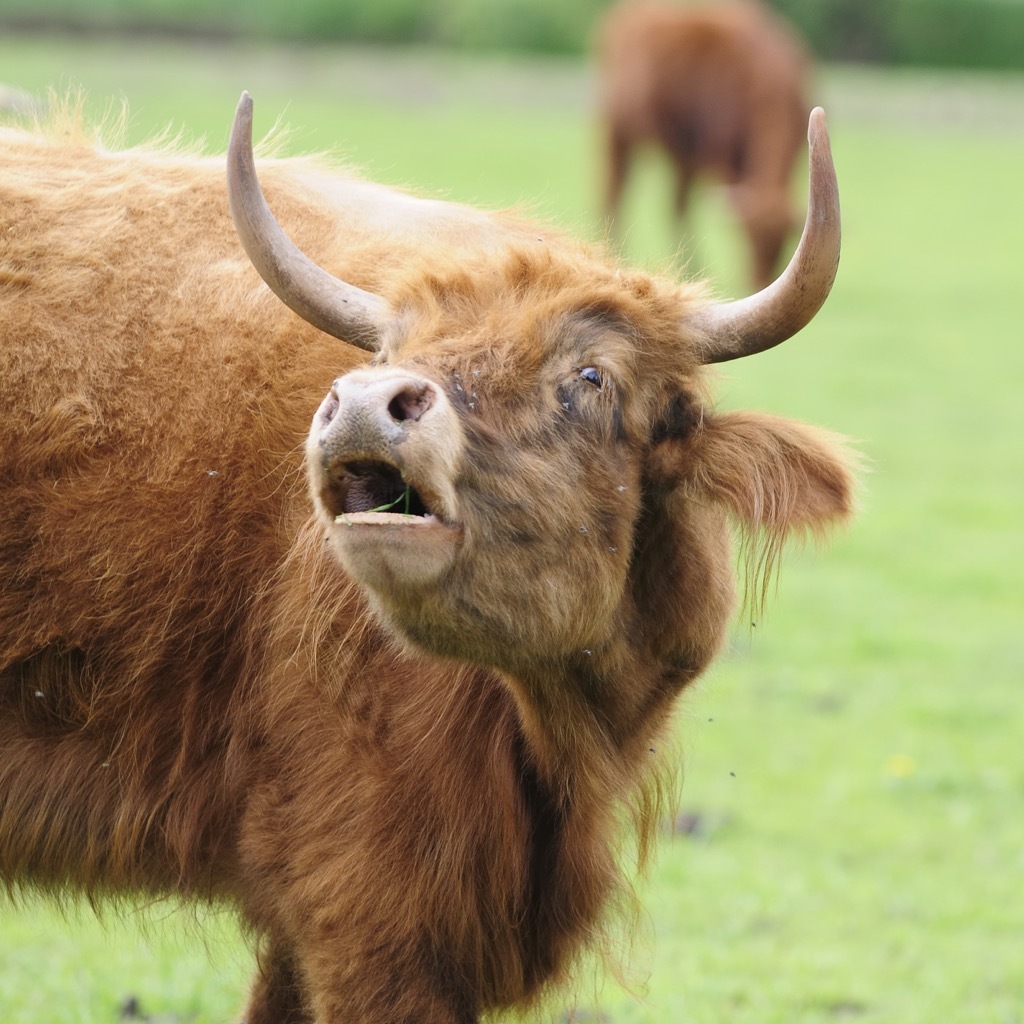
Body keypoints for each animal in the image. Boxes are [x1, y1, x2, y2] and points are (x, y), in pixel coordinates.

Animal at [598, 0, 812, 288]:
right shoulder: (719, 154)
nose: (759, 279)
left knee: (673, 204)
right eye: (748, 237)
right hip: (623, 134)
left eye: (784, 242)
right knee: (618, 193)